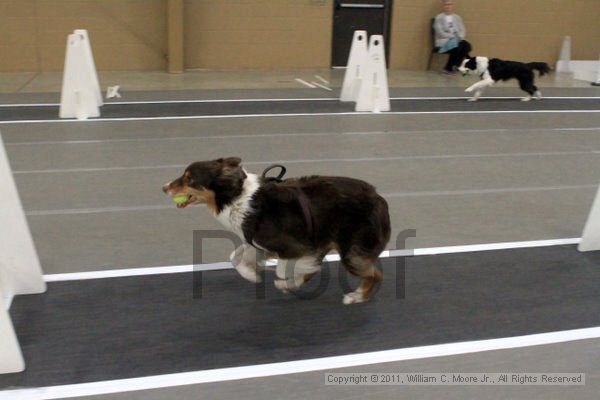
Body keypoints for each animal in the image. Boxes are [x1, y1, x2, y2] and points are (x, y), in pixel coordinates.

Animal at [162, 158, 392, 304]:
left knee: (376, 274)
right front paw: (253, 275)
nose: (164, 187)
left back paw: (357, 297)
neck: (237, 198)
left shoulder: (296, 246)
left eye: (189, 179)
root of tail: (380, 198)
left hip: (352, 252)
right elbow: (235, 258)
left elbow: (286, 268)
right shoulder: (256, 241)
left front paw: (286, 281)